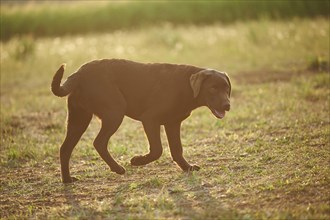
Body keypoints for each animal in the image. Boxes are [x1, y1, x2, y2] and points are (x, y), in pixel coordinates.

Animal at [51, 58, 232, 184]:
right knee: (99, 142)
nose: (227, 105)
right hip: (114, 113)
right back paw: (117, 168)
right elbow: (157, 150)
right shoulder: (150, 119)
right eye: (213, 88)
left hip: (78, 119)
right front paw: (137, 161)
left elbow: (177, 150)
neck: (185, 86)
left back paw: (67, 180)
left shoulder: (173, 123)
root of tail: (79, 73)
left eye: (227, 89)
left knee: (65, 149)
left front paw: (187, 168)